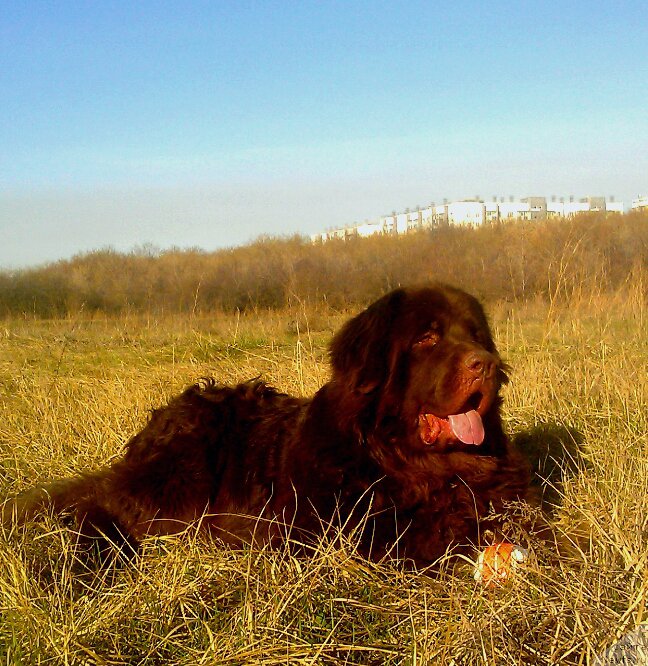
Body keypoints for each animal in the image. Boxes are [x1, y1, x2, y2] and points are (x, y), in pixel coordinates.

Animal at [2, 284, 532, 564]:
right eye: (427, 337)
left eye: (477, 335)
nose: (486, 364)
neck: (405, 461)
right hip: (180, 480)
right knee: (107, 511)